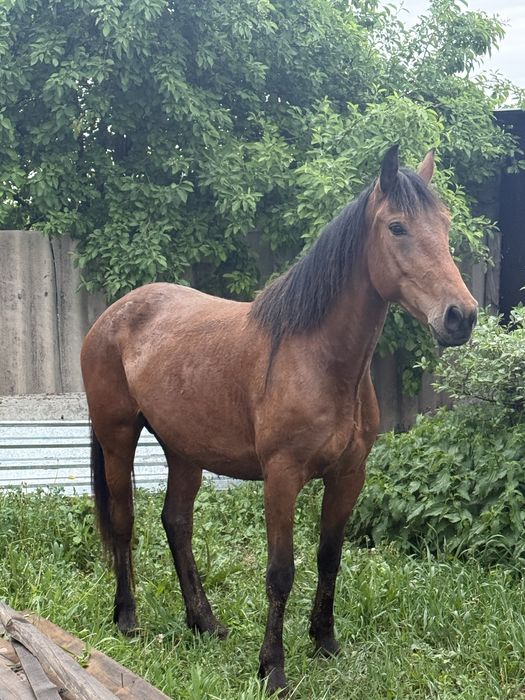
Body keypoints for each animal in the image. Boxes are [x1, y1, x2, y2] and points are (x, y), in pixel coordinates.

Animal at [81, 146, 477, 695]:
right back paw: (127, 620)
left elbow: (329, 557)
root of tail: (112, 316)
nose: (461, 316)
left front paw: (325, 643)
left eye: (445, 224)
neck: (317, 358)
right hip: (118, 438)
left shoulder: (349, 476)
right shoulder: (282, 477)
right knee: (123, 522)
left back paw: (205, 622)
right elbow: (280, 571)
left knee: (177, 524)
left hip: (185, 452)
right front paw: (273, 668)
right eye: (397, 227)